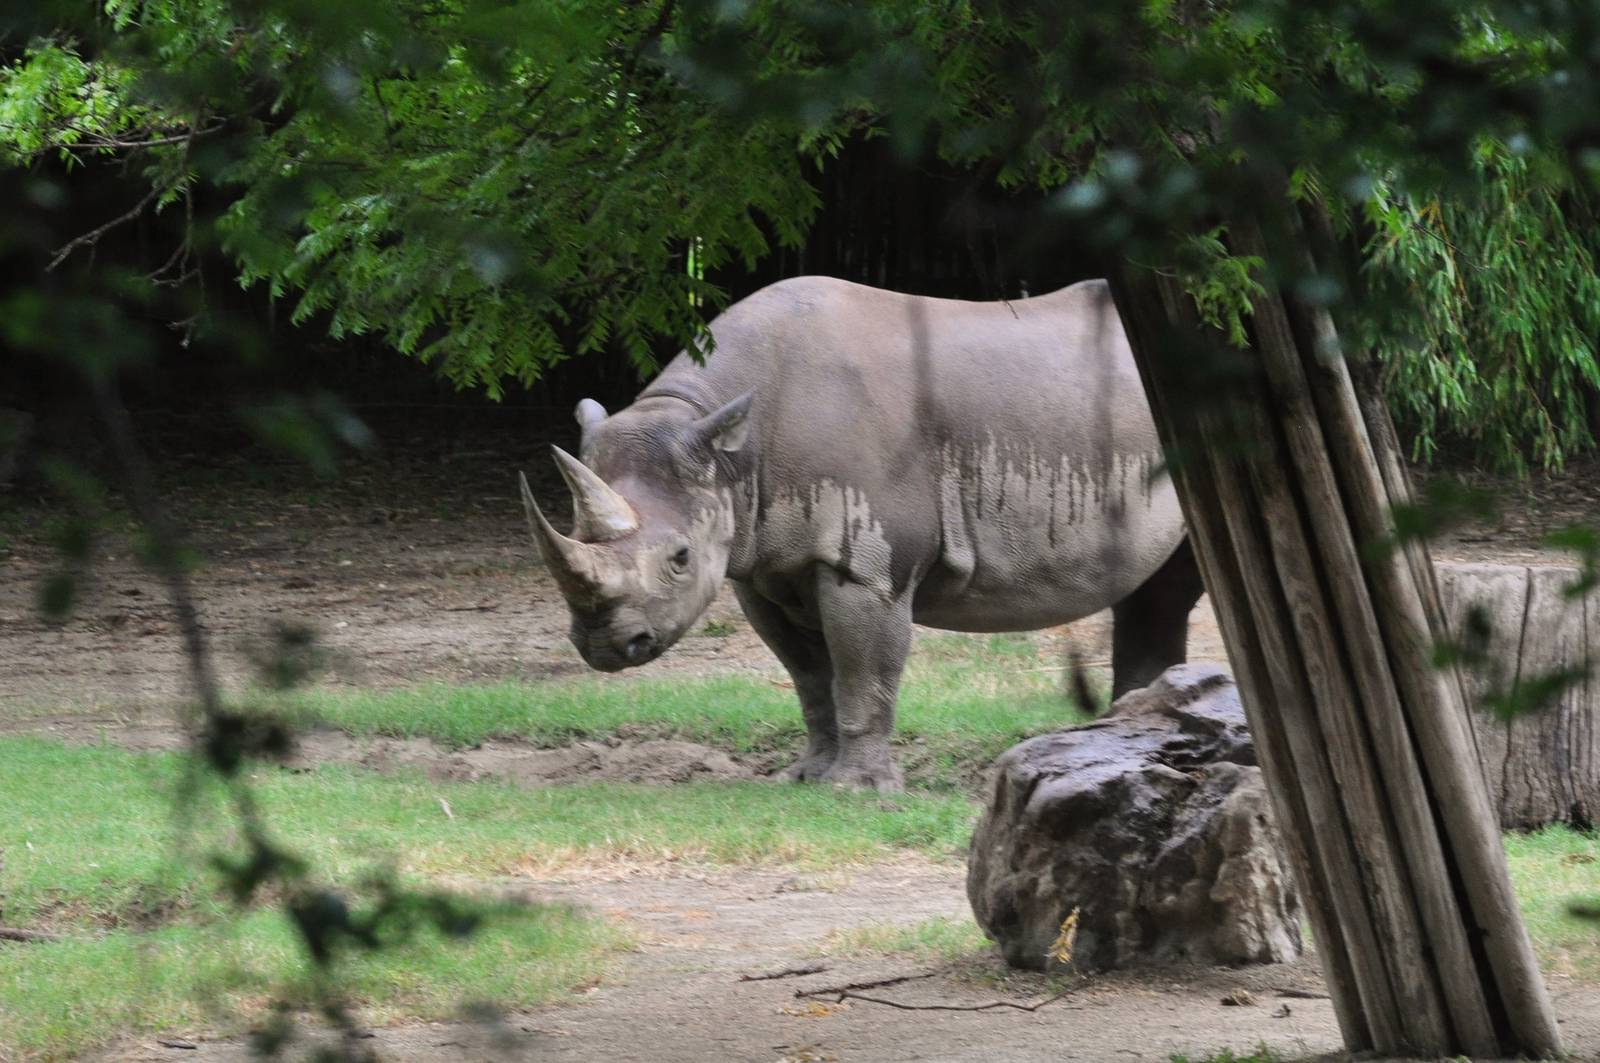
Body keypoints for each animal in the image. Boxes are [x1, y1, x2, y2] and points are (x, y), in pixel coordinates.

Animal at [520, 276, 1203, 791]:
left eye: (680, 558)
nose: (606, 647)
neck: (723, 443)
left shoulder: (868, 568)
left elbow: (861, 670)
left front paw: (857, 790)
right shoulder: (761, 564)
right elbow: (809, 676)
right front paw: (806, 778)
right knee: (1158, 589)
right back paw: (1125, 740)